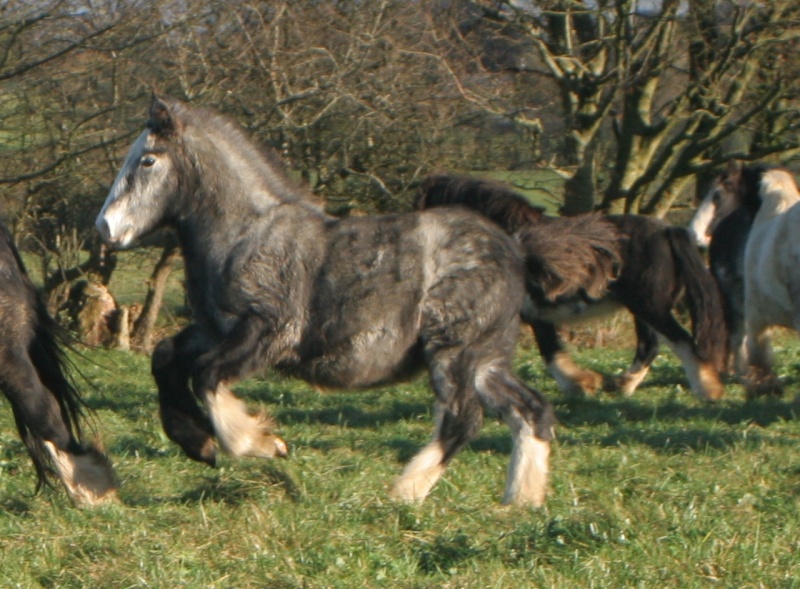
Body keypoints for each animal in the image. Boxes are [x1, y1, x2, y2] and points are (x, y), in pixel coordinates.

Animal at [94, 94, 584, 504]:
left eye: (148, 160)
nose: (105, 229)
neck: (247, 234)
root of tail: (516, 250)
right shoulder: (215, 330)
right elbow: (165, 357)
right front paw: (198, 443)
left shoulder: (268, 333)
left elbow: (207, 376)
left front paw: (262, 444)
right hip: (486, 359)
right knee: (532, 410)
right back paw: (521, 502)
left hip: (454, 352)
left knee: (464, 419)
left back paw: (404, 492)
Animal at [422, 173, 728, 400]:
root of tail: (667, 230)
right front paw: (584, 383)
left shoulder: (530, 314)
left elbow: (550, 353)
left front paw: (580, 384)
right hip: (644, 308)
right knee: (650, 345)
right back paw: (622, 386)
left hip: (650, 305)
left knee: (681, 342)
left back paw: (708, 389)